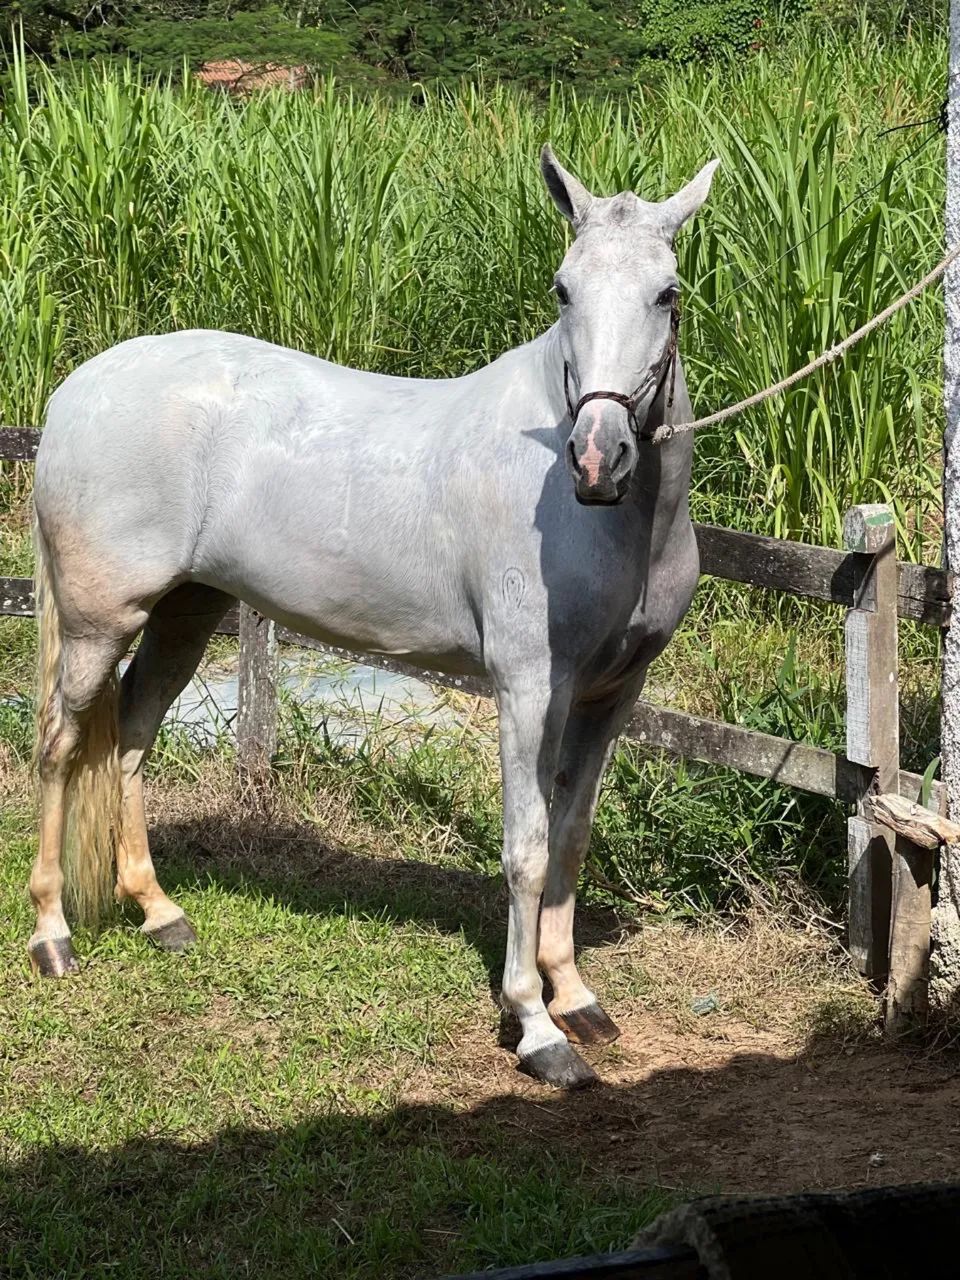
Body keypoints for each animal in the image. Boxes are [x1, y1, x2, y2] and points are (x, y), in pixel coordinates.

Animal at [29, 146, 717, 1088]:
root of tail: (79, 388)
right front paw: (537, 1028)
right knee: (62, 747)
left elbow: (572, 838)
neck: (613, 521)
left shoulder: (613, 694)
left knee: (133, 730)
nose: (596, 456)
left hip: (188, 610)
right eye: (563, 288)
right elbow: (527, 848)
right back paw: (52, 938)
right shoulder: (528, 688)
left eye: (667, 293)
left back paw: (160, 913)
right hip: (100, 620)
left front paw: (576, 997)